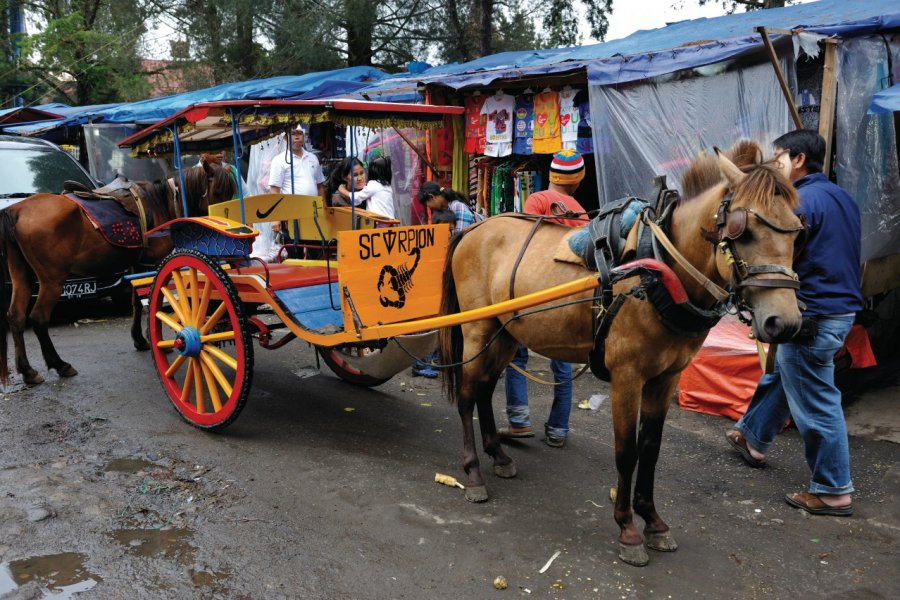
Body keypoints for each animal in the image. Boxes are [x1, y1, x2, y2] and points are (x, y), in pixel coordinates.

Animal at [0, 159, 236, 386]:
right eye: (218, 192)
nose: (227, 222)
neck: (161, 202)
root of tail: (17, 210)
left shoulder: (138, 264)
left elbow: (137, 302)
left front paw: (140, 339)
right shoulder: (153, 262)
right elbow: (153, 300)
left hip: (22, 277)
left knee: (16, 317)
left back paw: (28, 371)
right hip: (52, 281)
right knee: (38, 318)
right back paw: (60, 365)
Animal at [440, 144, 804, 568]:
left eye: (797, 231)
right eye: (742, 232)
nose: (784, 322)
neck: (661, 268)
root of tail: (473, 228)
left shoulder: (666, 378)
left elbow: (651, 449)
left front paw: (654, 522)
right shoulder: (627, 377)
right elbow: (626, 451)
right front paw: (628, 530)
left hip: (505, 334)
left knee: (484, 391)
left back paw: (498, 456)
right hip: (476, 331)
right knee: (467, 397)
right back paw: (473, 474)